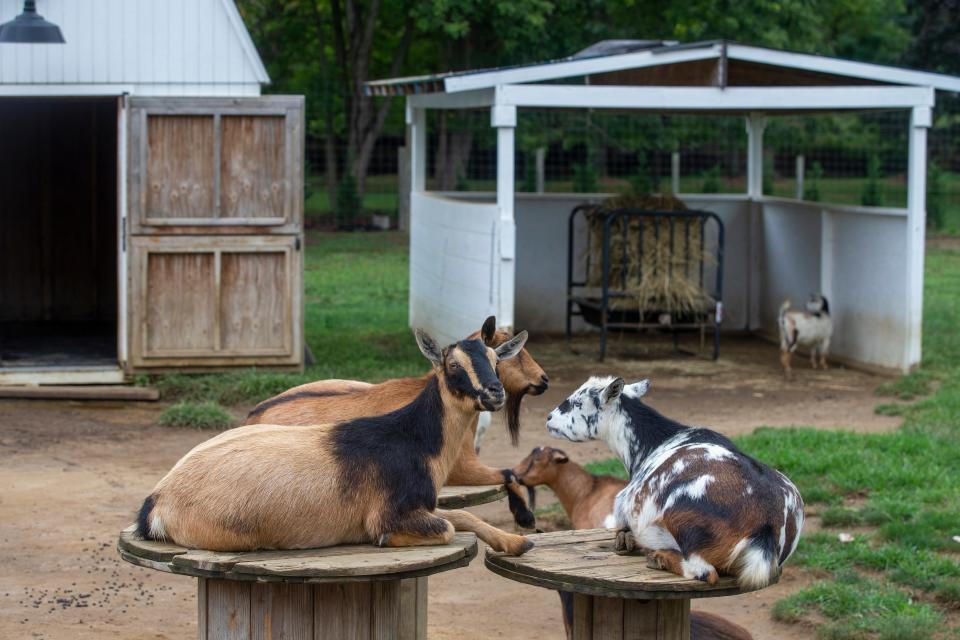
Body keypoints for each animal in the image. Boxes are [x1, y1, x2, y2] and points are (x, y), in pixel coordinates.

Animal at [137, 330, 532, 556]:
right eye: (452, 365)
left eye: (496, 360)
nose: (494, 393)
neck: (413, 439)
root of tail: (158, 499)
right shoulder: (388, 513)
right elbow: (447, 526)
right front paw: (385, 541)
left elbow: (463, 515)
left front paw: (516, 541)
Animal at [244, 316, 552, 528]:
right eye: (513, 356)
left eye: (495, 359)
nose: (543, 379)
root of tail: (252, 415)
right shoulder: (461, 469)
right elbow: (510, 472)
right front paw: (525, 516)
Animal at [548, 376, 804, 592]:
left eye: (576, 402)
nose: (549, 418)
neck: (658, 441)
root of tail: (766, 523)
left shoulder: (621, 506)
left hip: (684, 523)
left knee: (705, 572)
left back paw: (658, 557)